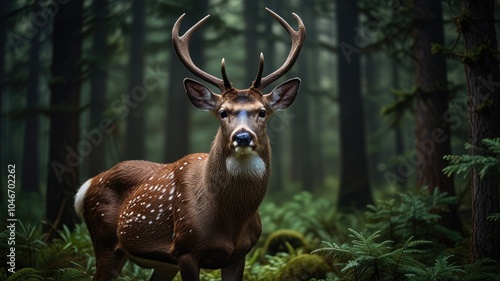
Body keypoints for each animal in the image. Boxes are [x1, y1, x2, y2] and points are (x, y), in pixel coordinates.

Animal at [73, 7, 304, 280]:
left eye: (262, 112)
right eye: (222, 112)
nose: (243, 137)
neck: (231, 221)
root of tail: (86, 187)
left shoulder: (240, 254)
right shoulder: (186, 249)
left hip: (162, 263)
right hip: (105, 240)